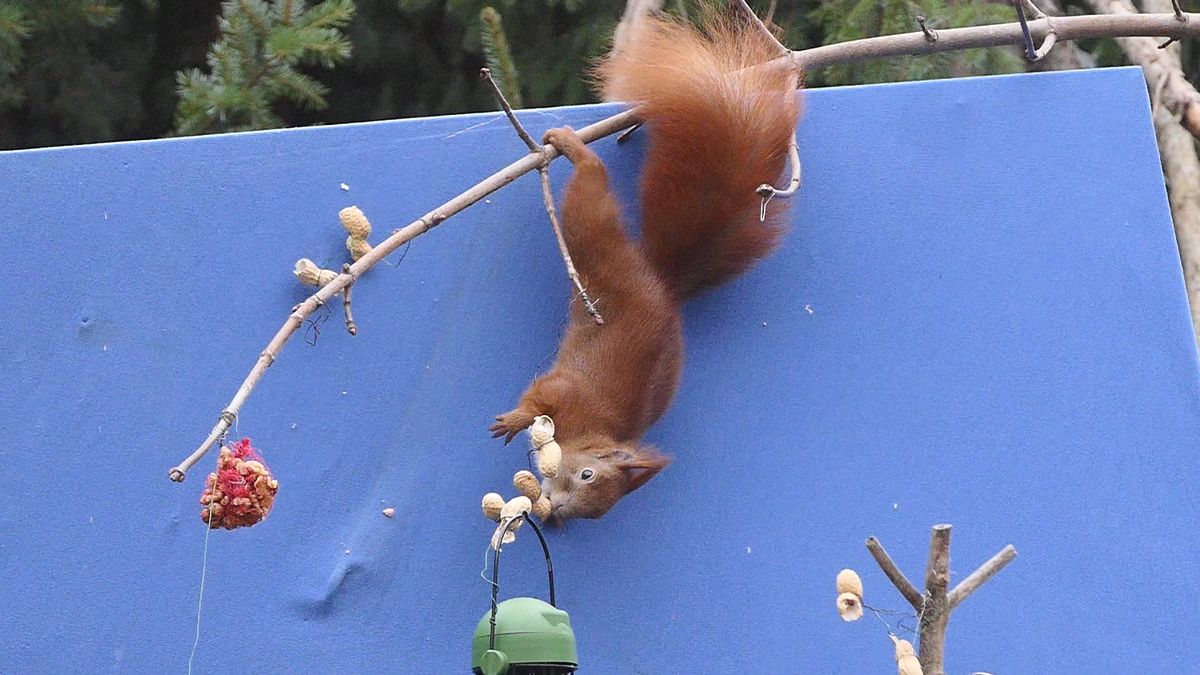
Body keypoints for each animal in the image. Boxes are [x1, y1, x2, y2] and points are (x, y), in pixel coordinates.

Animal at [492, 7, 801, 521]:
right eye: (587, 474)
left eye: (593, 512)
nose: (558, 509)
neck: (588, 431)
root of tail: (658, 280)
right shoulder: (568, 394)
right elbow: (542, 396)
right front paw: (516, 419)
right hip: (596, 245)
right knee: (590, 188)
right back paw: (573, 148)